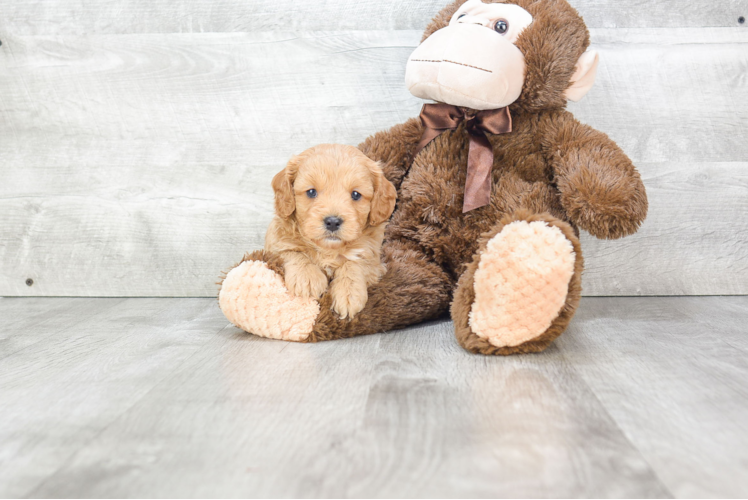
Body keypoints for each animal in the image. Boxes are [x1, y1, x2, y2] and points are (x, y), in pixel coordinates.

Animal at [268, 143, 398, 318]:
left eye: (356, 194)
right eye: (311, 192)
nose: (332, 222)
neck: (328, 249)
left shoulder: (373, 259)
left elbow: (354, 263)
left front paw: (348, 293)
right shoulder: (274, 244)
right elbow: (292, 252)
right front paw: (307, 278)